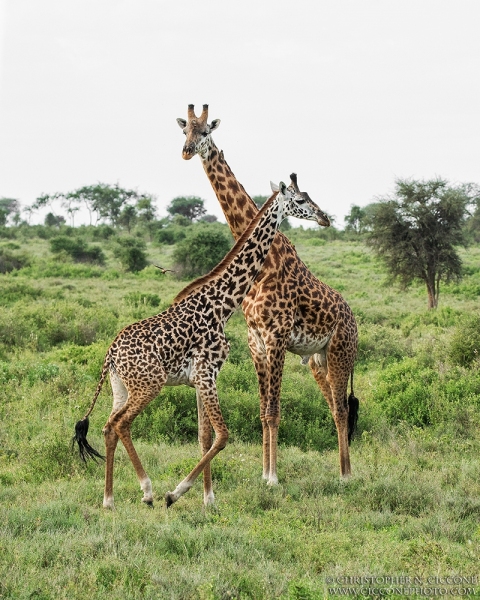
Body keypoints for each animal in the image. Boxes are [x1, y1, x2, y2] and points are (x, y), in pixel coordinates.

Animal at [72, 176, 330, 508]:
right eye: (299, 201)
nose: (324, 218)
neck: (223, 305)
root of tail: (110, 355)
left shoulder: (199, 379)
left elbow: (205, 437)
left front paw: (209, 500)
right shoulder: (208, 374)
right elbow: (223, 436)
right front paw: (176, 493)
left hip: (120, 387)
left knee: (107, 427)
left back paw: (108, 500)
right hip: (148, 384)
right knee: (121, 424)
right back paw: (147, 491)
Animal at [178, 105, 358, 486]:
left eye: (205, 132)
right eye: (185, 130)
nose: (186, 152)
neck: (267, 264)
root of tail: (353, 318)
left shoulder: (276, 337)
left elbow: (274, 411)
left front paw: (274, 477)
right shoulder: (255, 340)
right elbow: (262, 411)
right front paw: (263, 473)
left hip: (341, 352)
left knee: (341, 408)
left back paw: (347, 475)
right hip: (317, 359)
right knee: (334, 406)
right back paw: (342, 470)